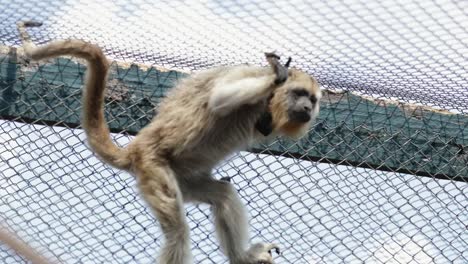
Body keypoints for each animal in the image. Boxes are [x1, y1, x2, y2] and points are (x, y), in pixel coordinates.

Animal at [16, 21, 320, 264]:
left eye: (313, 99)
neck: (271, 106)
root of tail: (135, 149)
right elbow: (220, 98)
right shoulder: (248, 77)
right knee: (177, 232)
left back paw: (241, 257)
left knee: (222, 194)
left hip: (183, 178)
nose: (307, 108)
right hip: (153, 168)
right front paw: (276, 75)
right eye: (299, 93)